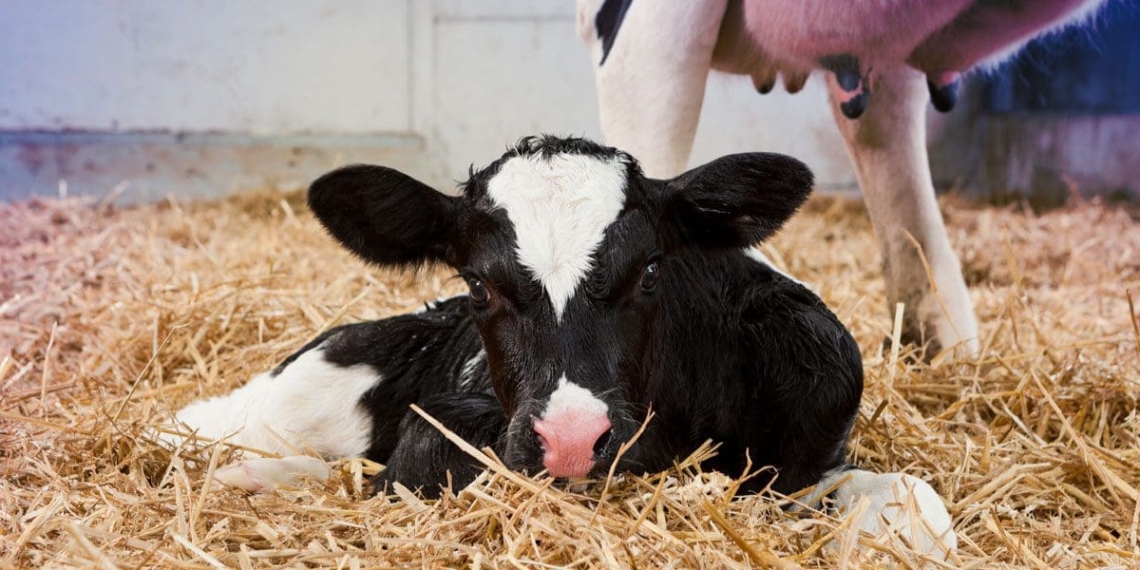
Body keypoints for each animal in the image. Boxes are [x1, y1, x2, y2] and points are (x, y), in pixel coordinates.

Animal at [162, 136, 955, 557]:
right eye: (479, 285)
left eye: (650, 271)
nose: (573, 439)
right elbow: (417, 457)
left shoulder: (813, 436)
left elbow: (913, 503)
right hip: (271, 401)